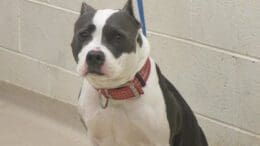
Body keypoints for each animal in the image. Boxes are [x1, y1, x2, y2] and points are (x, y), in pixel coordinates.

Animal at [70, 0, 207, 145]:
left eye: (118, 36)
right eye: (83, 34)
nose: (94, 56)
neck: (116, 93)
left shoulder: (160, 141)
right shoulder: (95, 137)